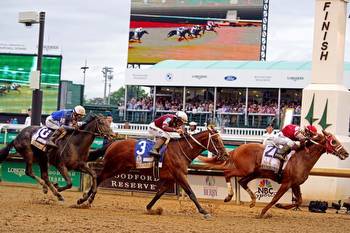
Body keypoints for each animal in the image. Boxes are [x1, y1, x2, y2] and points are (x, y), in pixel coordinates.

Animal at [78, 126, 228, 218]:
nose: (226, 154)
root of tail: (114, 143)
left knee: (98, 177)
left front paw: (151, 208)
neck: (181, 150)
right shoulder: (179, 175)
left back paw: (84, 199)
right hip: (113, 167)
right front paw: (204, 211)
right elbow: (191, 193)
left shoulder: (171, 179)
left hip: (119, 168)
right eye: (216, 139)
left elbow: (159, 193)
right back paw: (85, 200)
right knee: (98, 177)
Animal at [198, 130, 348, 218]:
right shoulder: (287, 183)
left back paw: (253, 200)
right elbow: (275, 198)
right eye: (334, 141)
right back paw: (229, 196)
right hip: (244, 170)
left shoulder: (295, 184)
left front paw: (281, 206)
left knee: (242, 181)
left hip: (255, 173)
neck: (302, 158)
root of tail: (237, 149)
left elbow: (298, 201)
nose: (346, 153)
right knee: (227, 173)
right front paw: (263, 212)